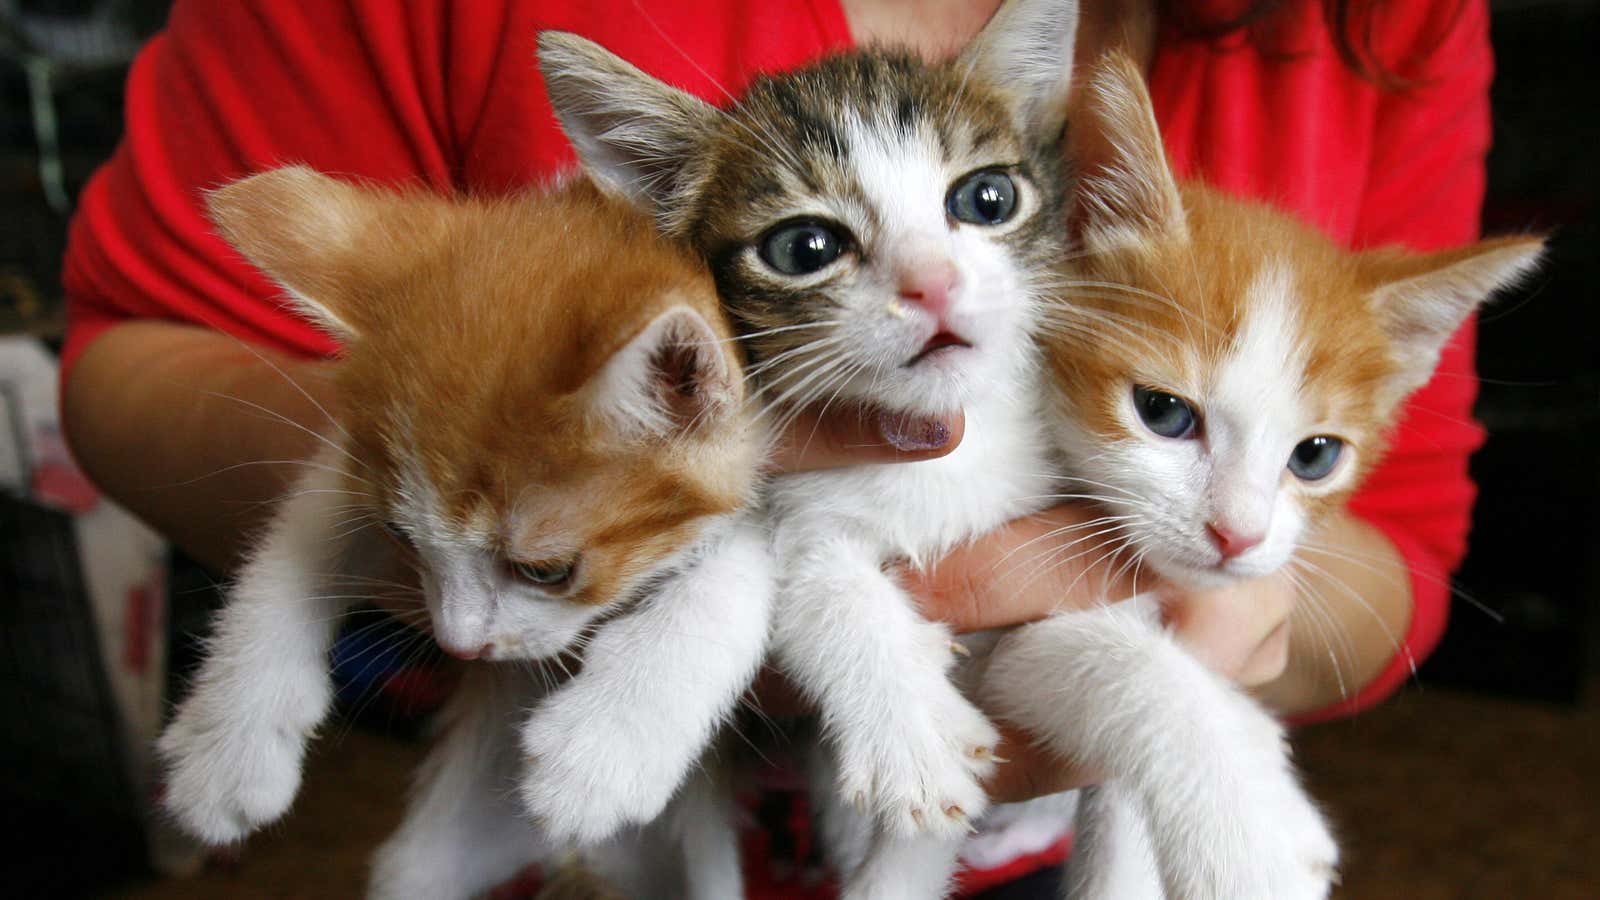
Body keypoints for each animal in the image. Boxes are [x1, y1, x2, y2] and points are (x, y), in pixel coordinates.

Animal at [152, 166, 771, 890]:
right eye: (400, 537)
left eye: (546, 571)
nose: (460, 647)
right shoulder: (350, 460)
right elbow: (299, 543)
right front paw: (225, 746)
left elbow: (745, 559)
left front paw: (603, 749)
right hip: (425, 860)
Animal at [537, 0, 1075, 890]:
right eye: (805, 248)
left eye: (987, 197)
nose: (933, 283)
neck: (937, 449)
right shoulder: (791, 496)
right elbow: (818, 580)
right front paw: (911, 736)